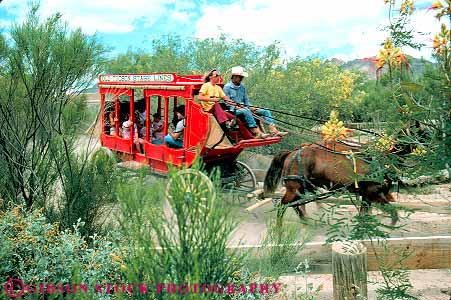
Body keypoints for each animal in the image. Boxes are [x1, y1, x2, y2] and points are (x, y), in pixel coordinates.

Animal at [264, 142, 400, 225]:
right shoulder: (373, 193)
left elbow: (363, 214)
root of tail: (292, 153)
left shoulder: (367, 195)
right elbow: (392, 210)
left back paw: (306, 221)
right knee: (283, 206)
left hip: (301, 188)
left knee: (294, 204)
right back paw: (279, 228)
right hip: (294, 188)